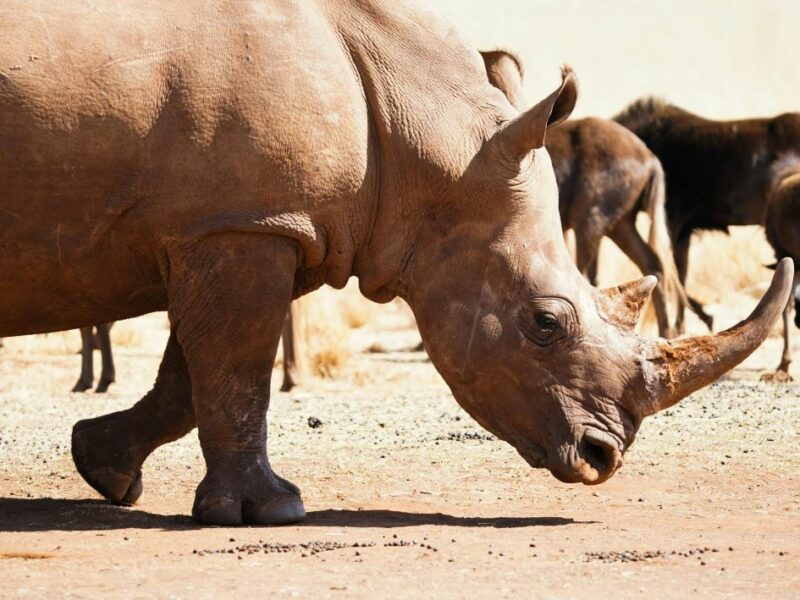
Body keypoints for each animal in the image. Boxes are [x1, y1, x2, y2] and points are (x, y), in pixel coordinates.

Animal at [0, 0, 792, 525]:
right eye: (544, 324)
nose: (603, 460)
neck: (430, 143)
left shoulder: (235, 223)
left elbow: (191, 375)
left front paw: (103, 469)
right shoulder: (244, 227)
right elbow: (236, 370)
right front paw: (271, 510)